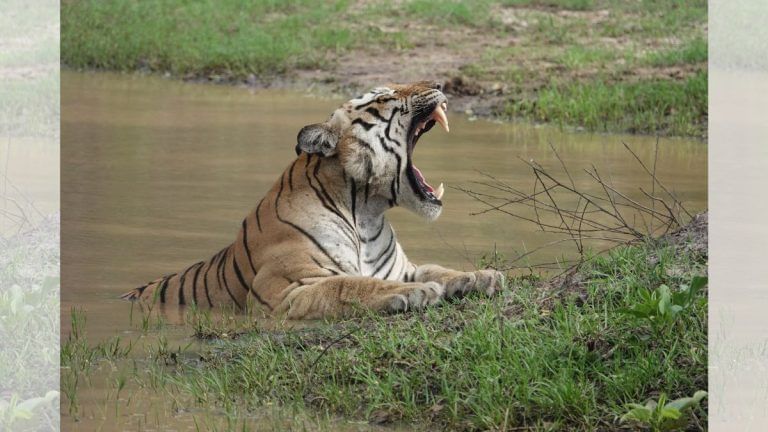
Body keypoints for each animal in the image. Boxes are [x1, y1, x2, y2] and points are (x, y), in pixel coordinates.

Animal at [121, 81, 505, 319]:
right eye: (384, 97)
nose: (439, 84)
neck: (367, 213)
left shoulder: (401, 267)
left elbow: (436, 268)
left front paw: (480, 276)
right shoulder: (287, 290)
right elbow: (348, 283)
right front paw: (417, 292)